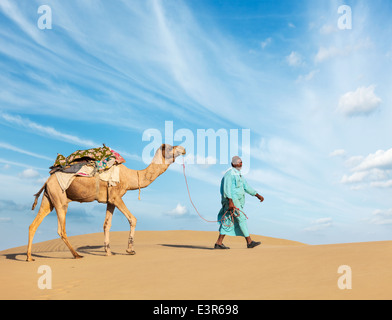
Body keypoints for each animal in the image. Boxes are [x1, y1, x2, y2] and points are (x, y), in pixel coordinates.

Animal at [26, 144, 186, 262]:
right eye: (170, 148)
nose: (183, 148)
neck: (131, 177)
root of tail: (47, 181)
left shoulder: (110, 200)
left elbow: (106, 224)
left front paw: (108, 251)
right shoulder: (116, 196)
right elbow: (132, 219)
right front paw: (130, 250)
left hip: (48, 199)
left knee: (34, 225)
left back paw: (29, 257)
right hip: (60, 198)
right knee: (61, 229)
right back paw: (77, 255)